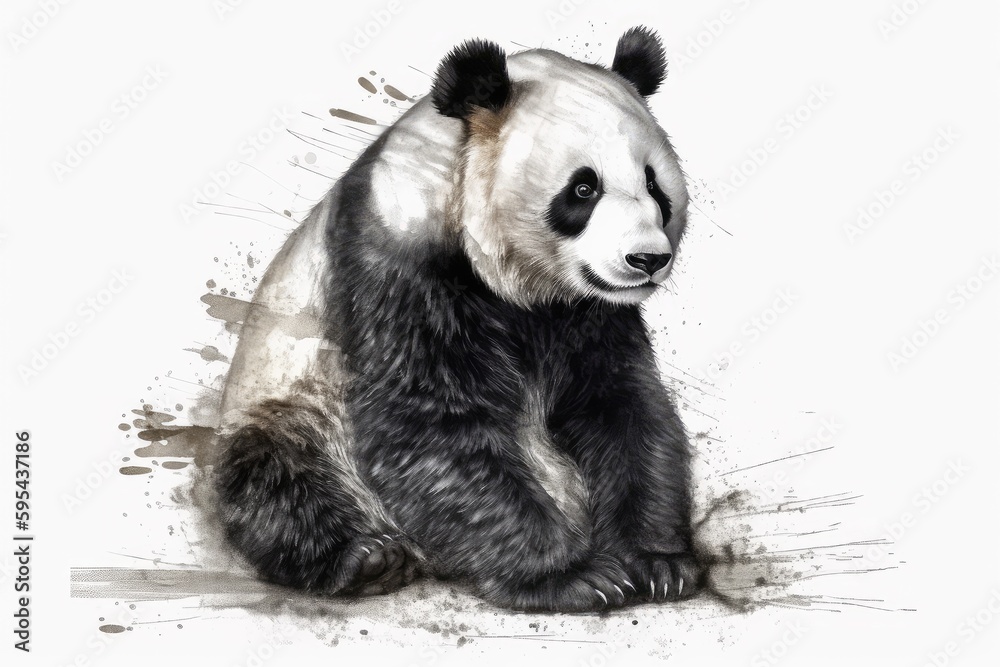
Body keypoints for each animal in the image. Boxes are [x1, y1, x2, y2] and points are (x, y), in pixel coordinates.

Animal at [213, 25, 702, 612]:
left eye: (655, 186)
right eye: (583, 189)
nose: (647, 259)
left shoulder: (588, 313)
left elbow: (621, 404)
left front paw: (655, 563)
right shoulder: (397, 266)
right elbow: (432, 421)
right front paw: (573, 576)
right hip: (291, 403)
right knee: (278, 479)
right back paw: (367, 558)